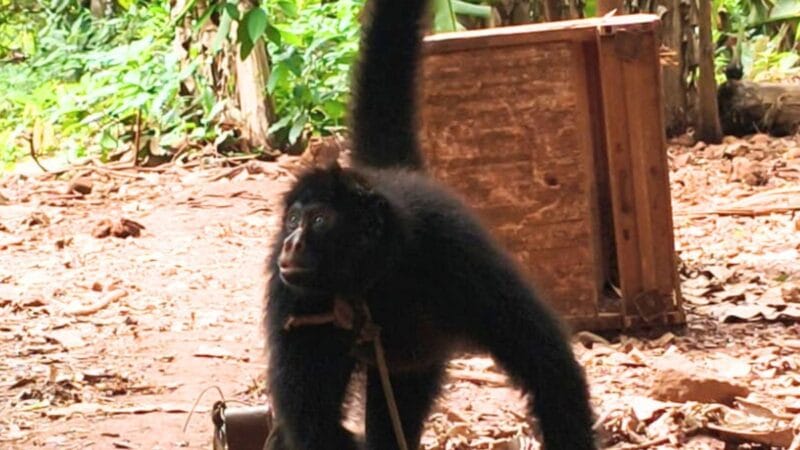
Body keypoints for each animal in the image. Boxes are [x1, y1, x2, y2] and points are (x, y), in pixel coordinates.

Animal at [263, 0, 598, 448]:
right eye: (293, 219)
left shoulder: (454, 249)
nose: (293, 243)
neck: (376, 278)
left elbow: (548, 366)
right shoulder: (293, 294)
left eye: (318, 220)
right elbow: (313, 422)